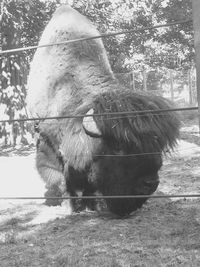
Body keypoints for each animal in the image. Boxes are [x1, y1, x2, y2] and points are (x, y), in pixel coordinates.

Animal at [27, 4, 181, 218]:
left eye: (157, 144)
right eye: (118, 147)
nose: (150, 184)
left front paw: (92, 205)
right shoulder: (47, 140)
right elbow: (59, 177)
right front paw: (71, 206)